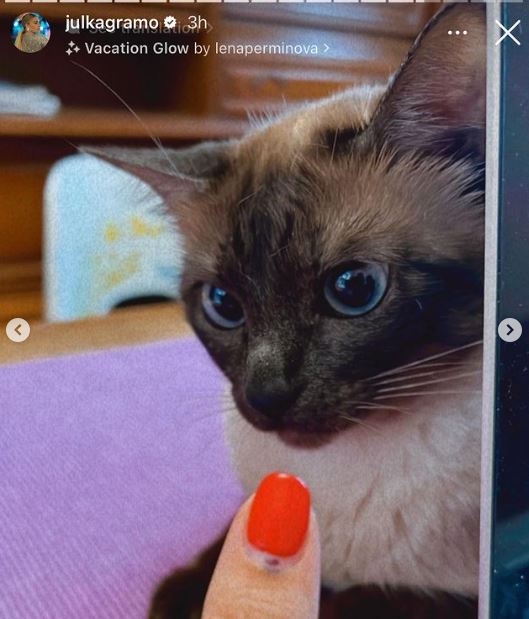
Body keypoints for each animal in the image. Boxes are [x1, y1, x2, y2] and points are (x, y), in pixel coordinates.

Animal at [90, 3, 486, 617]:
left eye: (353, 288)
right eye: (223, 305)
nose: (266, 396)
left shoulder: (469, 592)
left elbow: (364, 598)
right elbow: (225, 538)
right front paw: (181, 596)